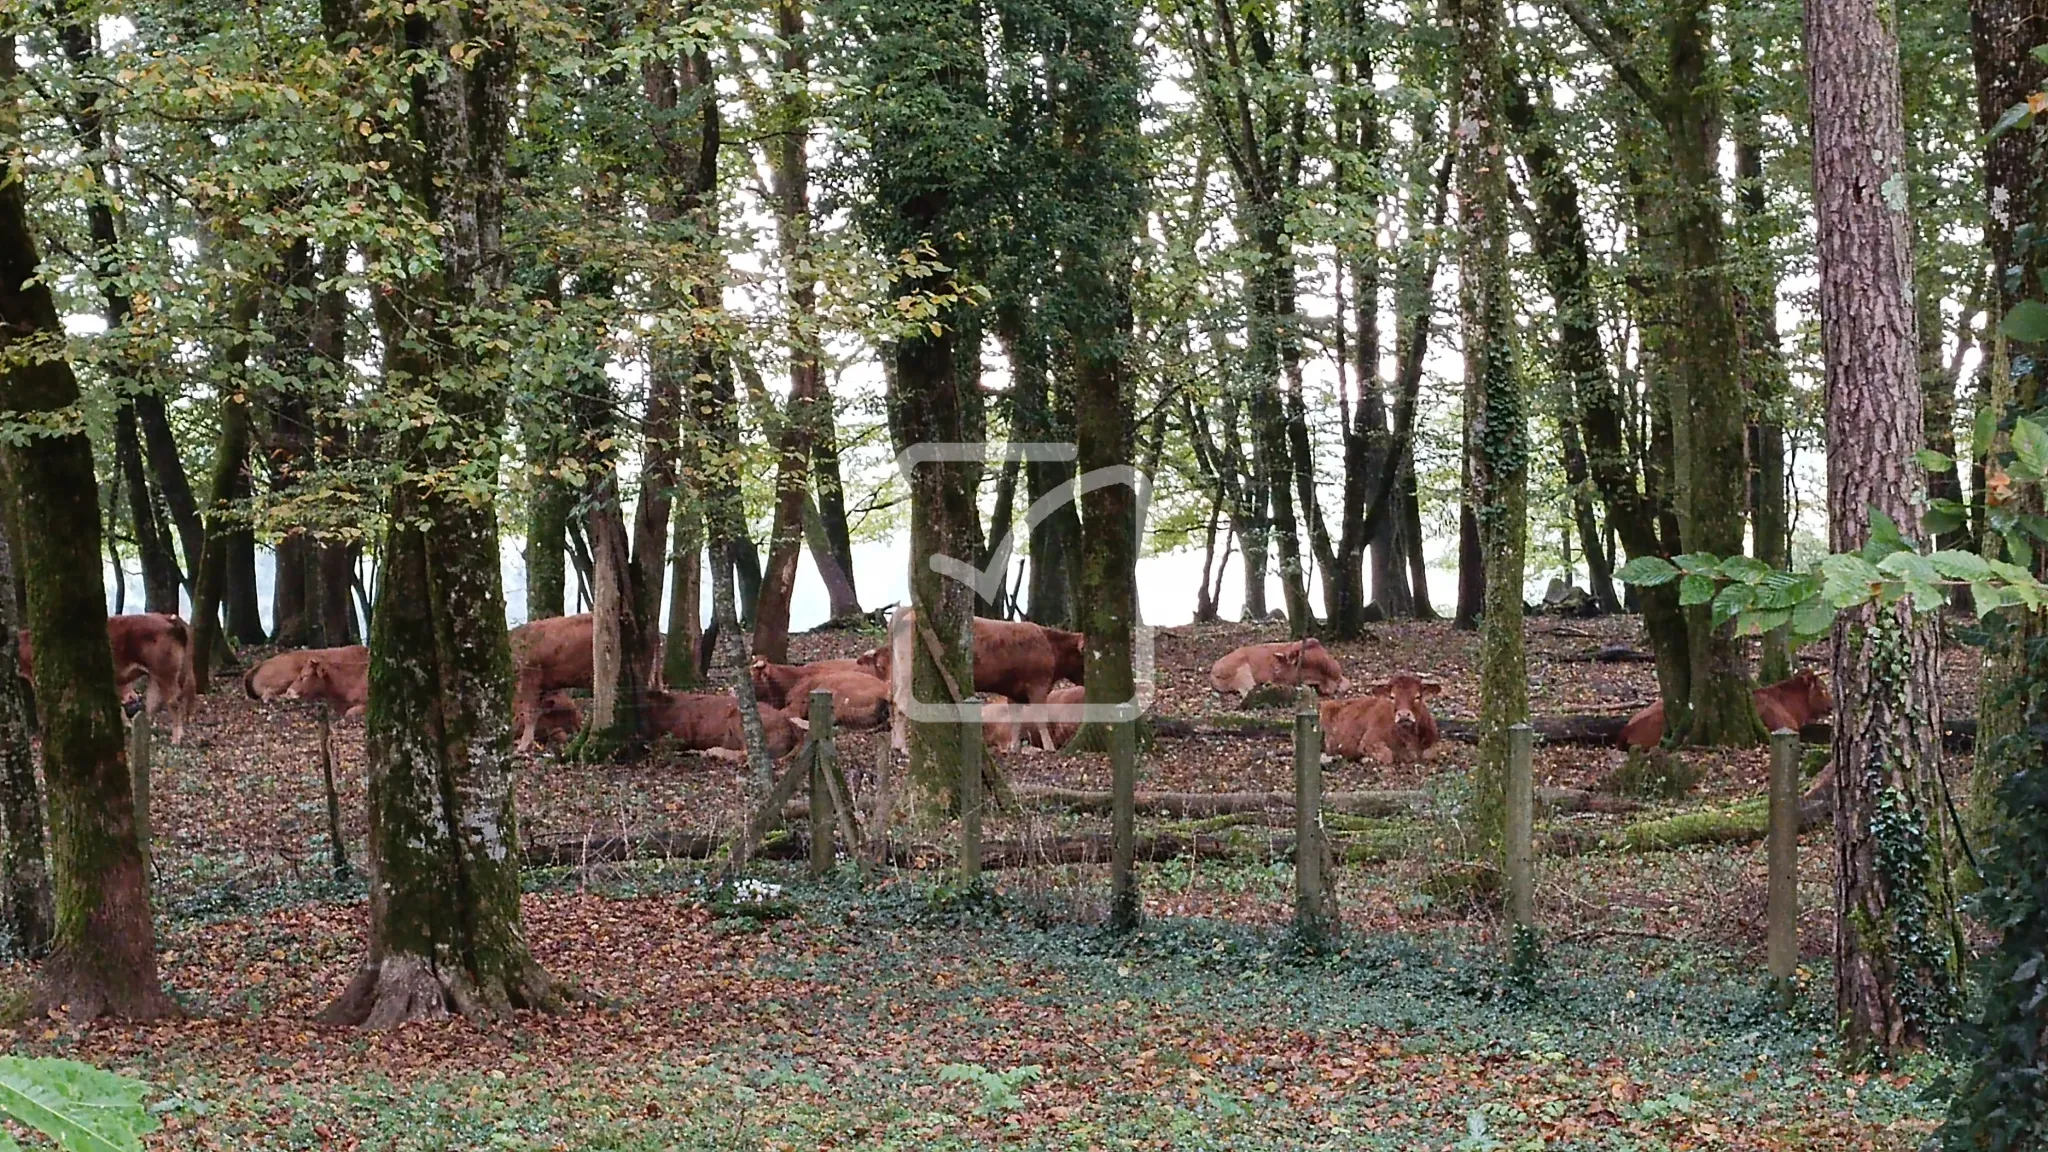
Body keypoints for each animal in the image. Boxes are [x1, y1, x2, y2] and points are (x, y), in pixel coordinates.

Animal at [18, 614, 197, 737]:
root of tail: (168, 618)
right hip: (158, 675)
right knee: (154, 701)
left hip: (165, 672)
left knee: (173, 701)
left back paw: (176, 738)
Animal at [1318, 672, 1449, 762]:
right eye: (1392, 697)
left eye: (1417, 696)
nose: (1403, 715)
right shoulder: (1368, 740)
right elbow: (1388, 756)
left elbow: (1431, 753)